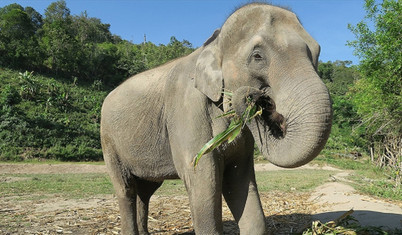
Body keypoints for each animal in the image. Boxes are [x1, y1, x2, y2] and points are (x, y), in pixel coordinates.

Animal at [101, 2, 332, 234]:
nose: (254, 97)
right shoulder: (187, 109)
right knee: (126, 189)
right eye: (257, 56)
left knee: (146, 189)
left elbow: (239, 180)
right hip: (109, 142)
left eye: (317, 52)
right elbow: (203, 179)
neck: (213, 42)